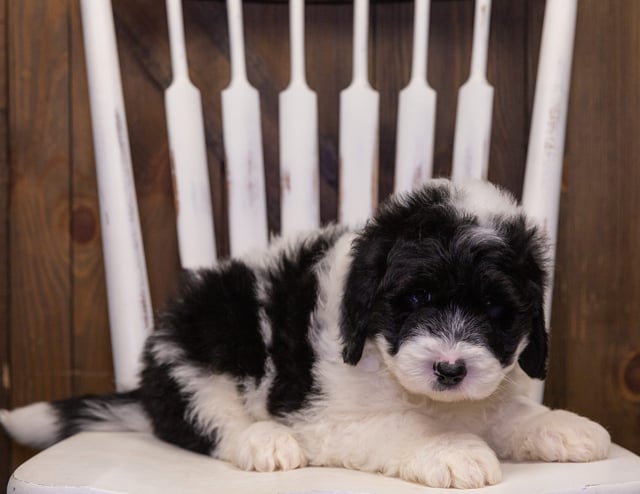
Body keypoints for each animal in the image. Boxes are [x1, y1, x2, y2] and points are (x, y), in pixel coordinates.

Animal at [0, 179, 608, 488]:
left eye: (496, 312)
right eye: (415, 300)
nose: (451, 369)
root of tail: (147, 389)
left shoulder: (486, 391)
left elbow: (509, 410)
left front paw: (565, 427)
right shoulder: (325, 418)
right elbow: (405, 427)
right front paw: (452, 449)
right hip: (198, 356)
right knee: (211, 422)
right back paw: (263, 442)